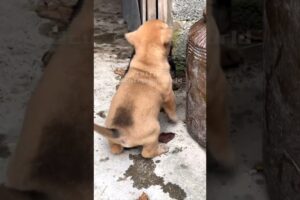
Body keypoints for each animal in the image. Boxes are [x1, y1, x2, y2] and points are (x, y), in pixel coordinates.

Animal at [95, 19, 177, 159]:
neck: (146, 59)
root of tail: (119, 133)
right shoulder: (168, 95)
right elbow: (172, 110)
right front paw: (175, 119)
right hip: (155, 130)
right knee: (147, 153)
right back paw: (162, 148)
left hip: (112, 140)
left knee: (115, 149)